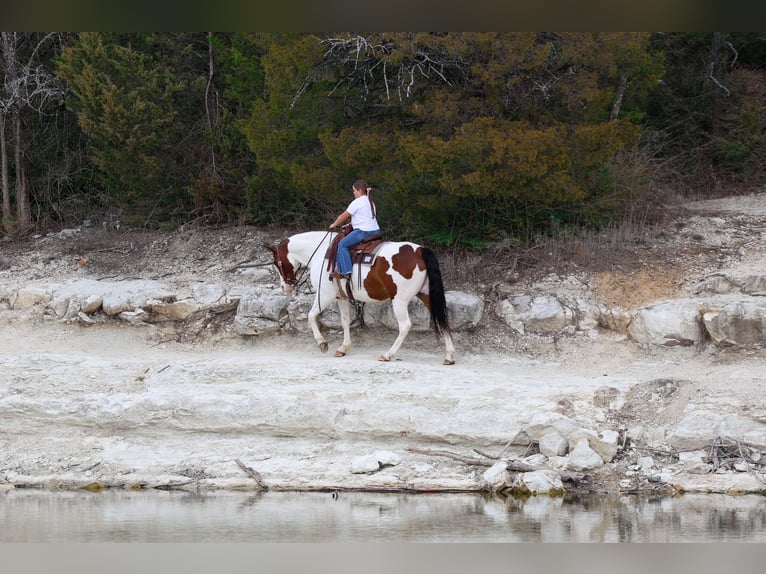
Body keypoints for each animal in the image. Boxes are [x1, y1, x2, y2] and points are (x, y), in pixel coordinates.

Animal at [267, 231, 456, 365]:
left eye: (277, 262)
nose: (285, 287)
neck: (322, 252)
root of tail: (420, 251)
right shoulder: (341, 297)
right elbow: (344, 321)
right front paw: (343, 348)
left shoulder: (325, 295)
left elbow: (311, 315)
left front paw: (322, 343)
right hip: (426, 295)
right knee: (442, 320)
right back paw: (449, 356)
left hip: (400, 300)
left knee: (405, 326)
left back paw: (388, 354)